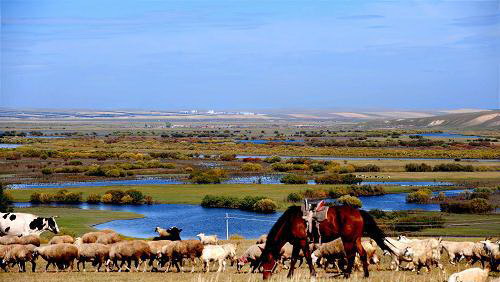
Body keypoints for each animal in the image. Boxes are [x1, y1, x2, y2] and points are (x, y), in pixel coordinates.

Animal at [260, 205, 392, 280]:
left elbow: (307, 258)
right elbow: (293, 259)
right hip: (356, 239)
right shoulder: (297, 243)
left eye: (267, 260)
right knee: (363, 254)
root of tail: (358, 212)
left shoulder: (302, 241)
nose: (265, 277)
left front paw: (313, 274)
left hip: (348, 240)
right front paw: (289, 275)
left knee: (351, 256)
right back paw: (365, 275)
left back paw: (346, 275)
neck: (291, 221)